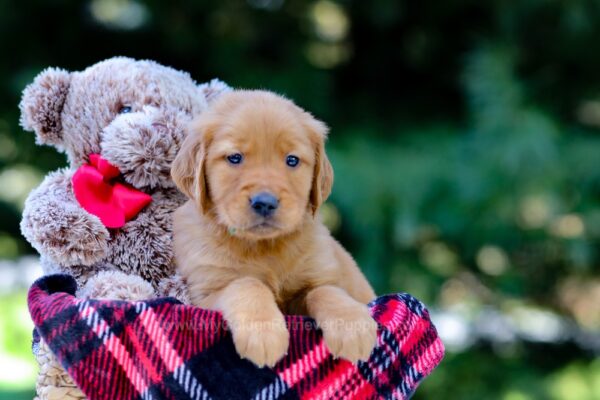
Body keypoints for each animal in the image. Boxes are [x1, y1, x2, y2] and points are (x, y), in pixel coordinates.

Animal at [171, 89, 376, 368]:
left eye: (292, 160)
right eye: (235, 158)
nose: (265, 202)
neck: (264, 247)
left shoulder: (317, 277)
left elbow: (325, 291)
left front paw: (353, 326)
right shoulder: (205, 293)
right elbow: (246, 284)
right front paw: (263, 333)